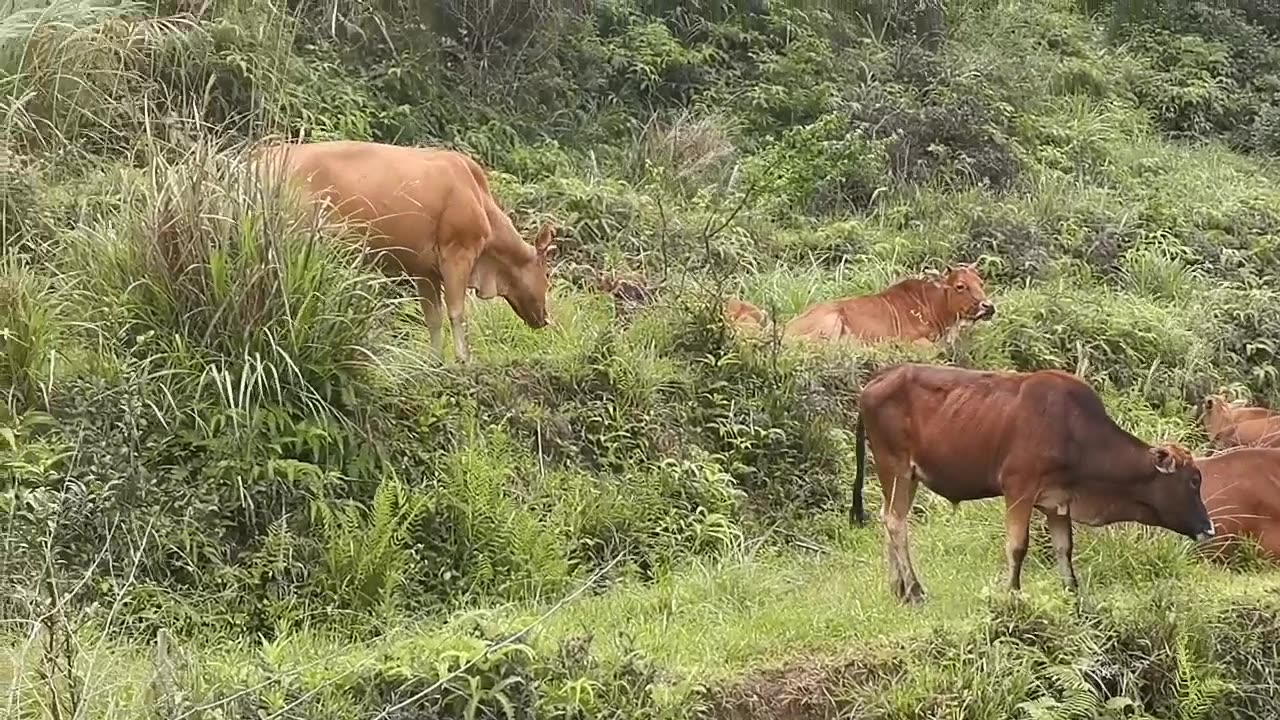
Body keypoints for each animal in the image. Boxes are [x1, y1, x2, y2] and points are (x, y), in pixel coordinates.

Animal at [252, 137, 558, 361]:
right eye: (547, 276)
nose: (545, 318)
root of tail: (257, 157)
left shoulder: (424, 270)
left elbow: (433, 319)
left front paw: (435, 361)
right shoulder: (458, 253)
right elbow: (457, 312)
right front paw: (463, 360)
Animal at [855, 361, 1213, 602]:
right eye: (1193, 481)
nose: (1209, 528)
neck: (1075, 433)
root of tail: (877, 380)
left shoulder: (1058, 502)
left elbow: (1064, 548)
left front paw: (1072, 591)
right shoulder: (1018, 488)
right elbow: (1018, 545)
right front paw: (1013, 591)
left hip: (907, 475)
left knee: (890, 519)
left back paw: (898, 588)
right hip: (895, 466)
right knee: (896, 522)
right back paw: (915, 590)